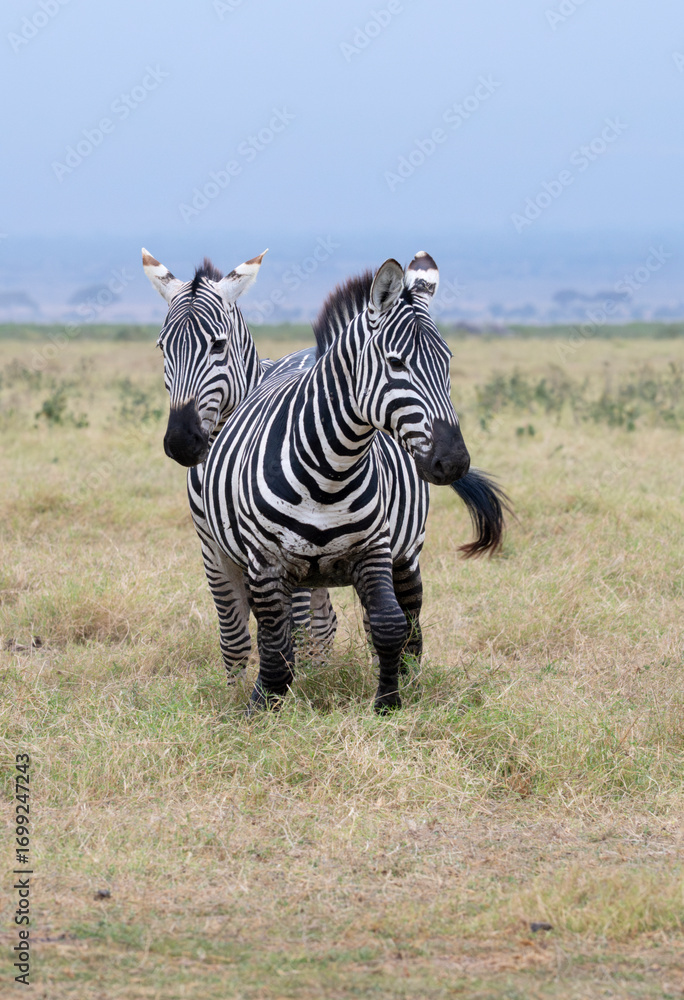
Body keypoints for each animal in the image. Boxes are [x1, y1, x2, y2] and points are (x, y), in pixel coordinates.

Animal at [142, 247, 338, 673]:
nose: (182, 442)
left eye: (218, 345)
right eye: (163, 348)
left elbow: (291, 633)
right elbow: (233, 638)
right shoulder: (211, 548)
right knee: (325, 619)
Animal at [201, 252, 506, 713]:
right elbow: (275, 642)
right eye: (396, 363)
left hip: (406, 554)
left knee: (411, 620)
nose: (453, 462)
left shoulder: (374, 549)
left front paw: (390, 701)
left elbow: (390, 625)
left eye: (448, 361)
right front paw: (261, 707)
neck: (330, 469)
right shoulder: (266, 562)